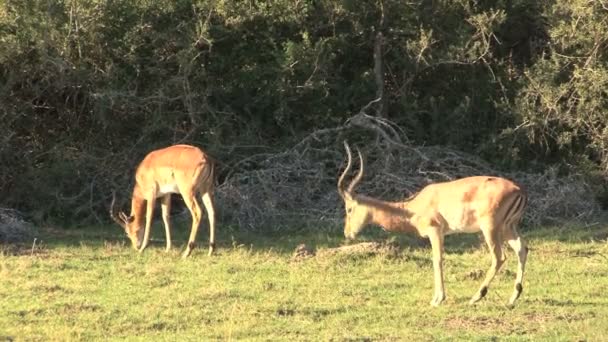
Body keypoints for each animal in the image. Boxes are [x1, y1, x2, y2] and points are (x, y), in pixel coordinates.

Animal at [338, 140, 528, 306]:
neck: (414, 207)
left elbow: (437, 259)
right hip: (508, 228)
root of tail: (519, 190)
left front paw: (437, 300)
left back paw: (476, 297)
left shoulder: (434, 231)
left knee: (499, 257)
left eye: (349, 209)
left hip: (490, 229)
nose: (347, 233)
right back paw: (512, 298)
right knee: (522, 250)